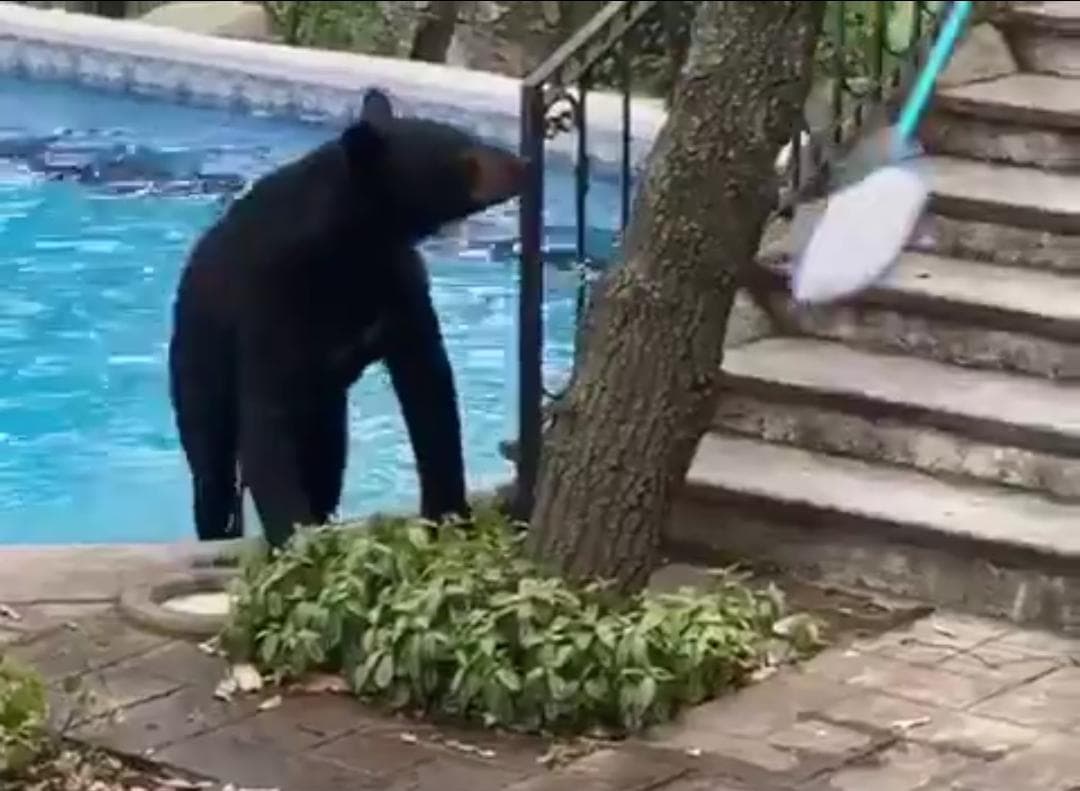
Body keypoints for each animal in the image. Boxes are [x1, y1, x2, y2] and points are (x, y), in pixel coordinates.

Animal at [168, 88, 526, 549]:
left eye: (469, 135)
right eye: (466, 154)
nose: (524, 165)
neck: (351, 244)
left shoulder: (397, 285)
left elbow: (430, 390)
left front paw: (448, 514)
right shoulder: (271, 295)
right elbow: (266, 420)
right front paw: (298, 540)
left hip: (325, 407)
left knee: (326, 461)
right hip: (199, 364)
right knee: (212, 468)